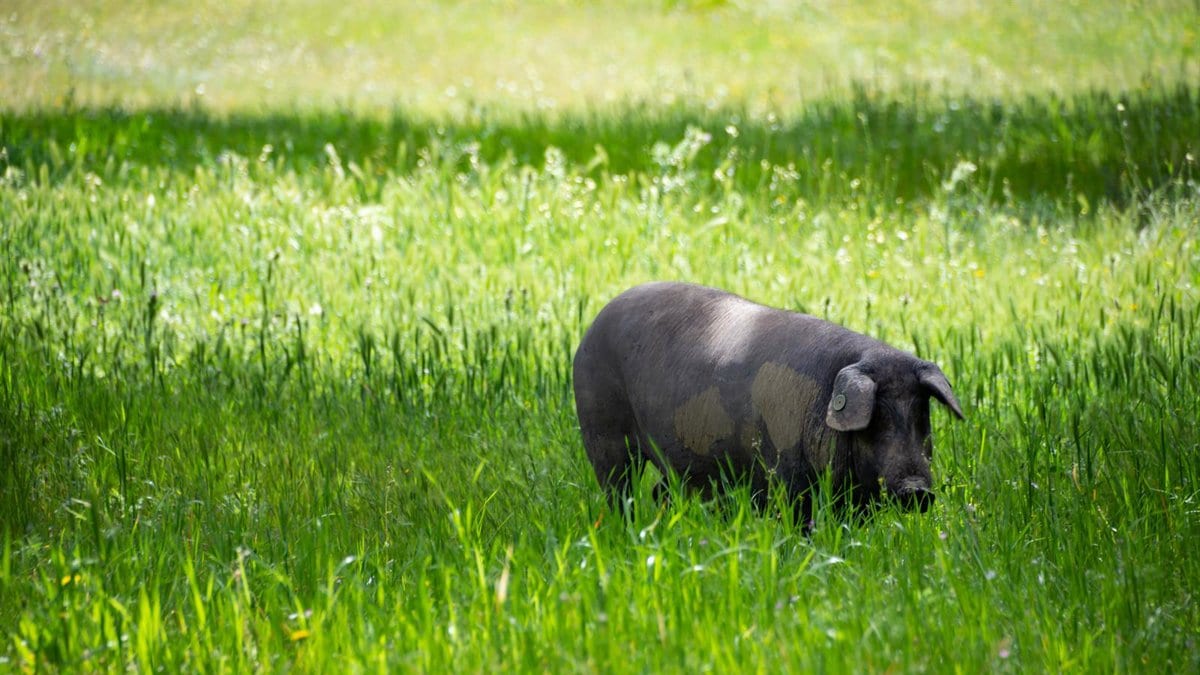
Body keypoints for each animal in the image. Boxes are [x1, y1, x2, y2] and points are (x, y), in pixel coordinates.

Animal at [572, 282, 964, 518]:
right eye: (876, 421)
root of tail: (593, 325)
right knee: (617, 487)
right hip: (601, 430)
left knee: (661, 490)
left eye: (921, 417)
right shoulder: (783, 473)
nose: (916, 490)